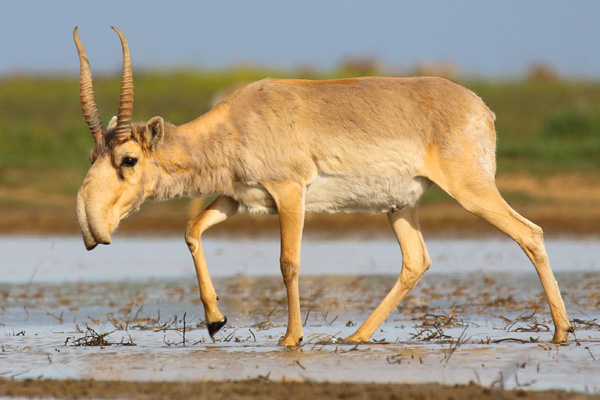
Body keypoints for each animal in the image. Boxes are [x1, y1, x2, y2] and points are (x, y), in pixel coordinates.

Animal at [74, 27, 572, 346]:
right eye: (93, 155)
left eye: (128, 159)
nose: (90, 226)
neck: (237, 120)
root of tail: (481, 108)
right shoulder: (237, 199)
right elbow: (192, 230)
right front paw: (216, 321)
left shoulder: (290, 193)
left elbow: (288, 262)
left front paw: (291, 338)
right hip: (400, 206)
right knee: (416, 260)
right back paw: (356, 336)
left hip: (472, 191)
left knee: (530, 233)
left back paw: (562, 331)